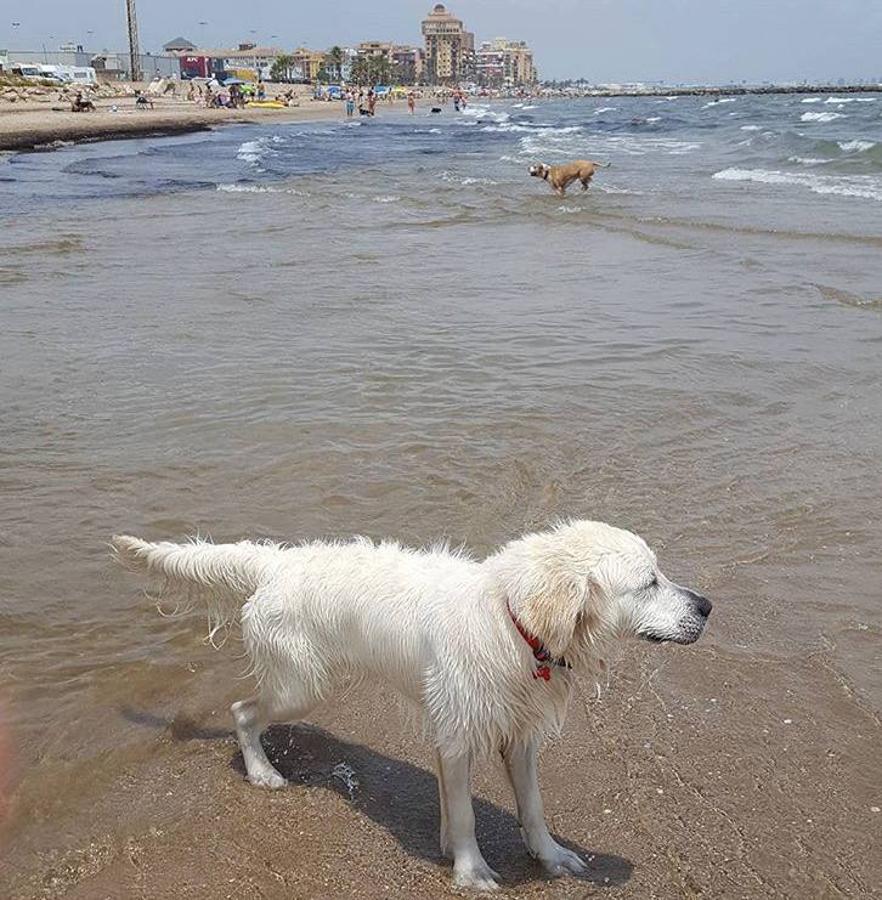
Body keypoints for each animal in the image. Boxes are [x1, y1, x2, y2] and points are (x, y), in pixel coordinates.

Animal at [113, 520, 712, 892]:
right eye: (649, 582)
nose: (707, 605)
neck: (513, 623)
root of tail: (276, 562)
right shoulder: (458, 731)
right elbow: (467, 813)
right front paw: (471, 872)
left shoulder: (517, 734)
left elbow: (532, 807)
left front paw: (551, 857)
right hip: (302, 685)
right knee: (242, 711)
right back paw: (262, 773)